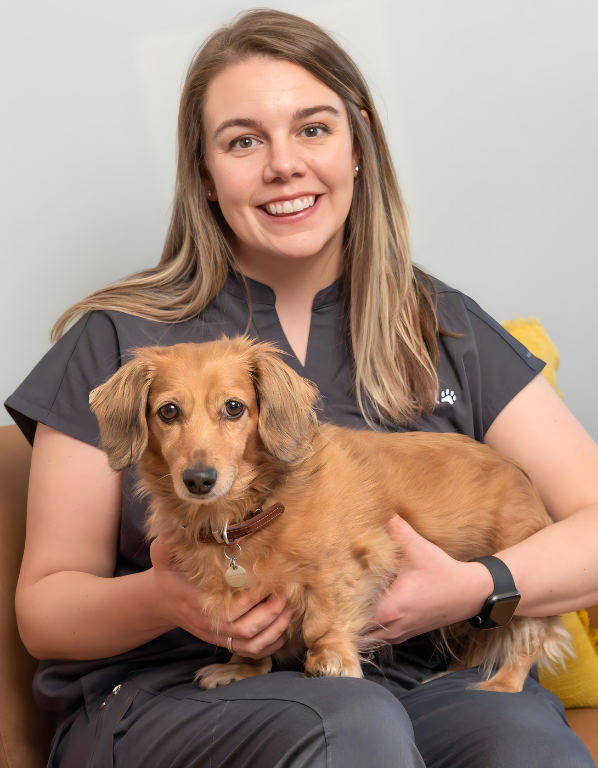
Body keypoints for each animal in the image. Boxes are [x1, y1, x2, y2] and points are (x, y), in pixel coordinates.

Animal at [89, 336, 572, 688]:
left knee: (525, 646)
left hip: (522, 595)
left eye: (234, 408)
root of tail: (524, 479)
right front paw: (242, 667)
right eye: (168, 411)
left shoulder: (355, 560)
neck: (247, 515)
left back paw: (499, 685)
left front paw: (331, 657)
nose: (199, 479)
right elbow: (249, 642)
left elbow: (324, 618)